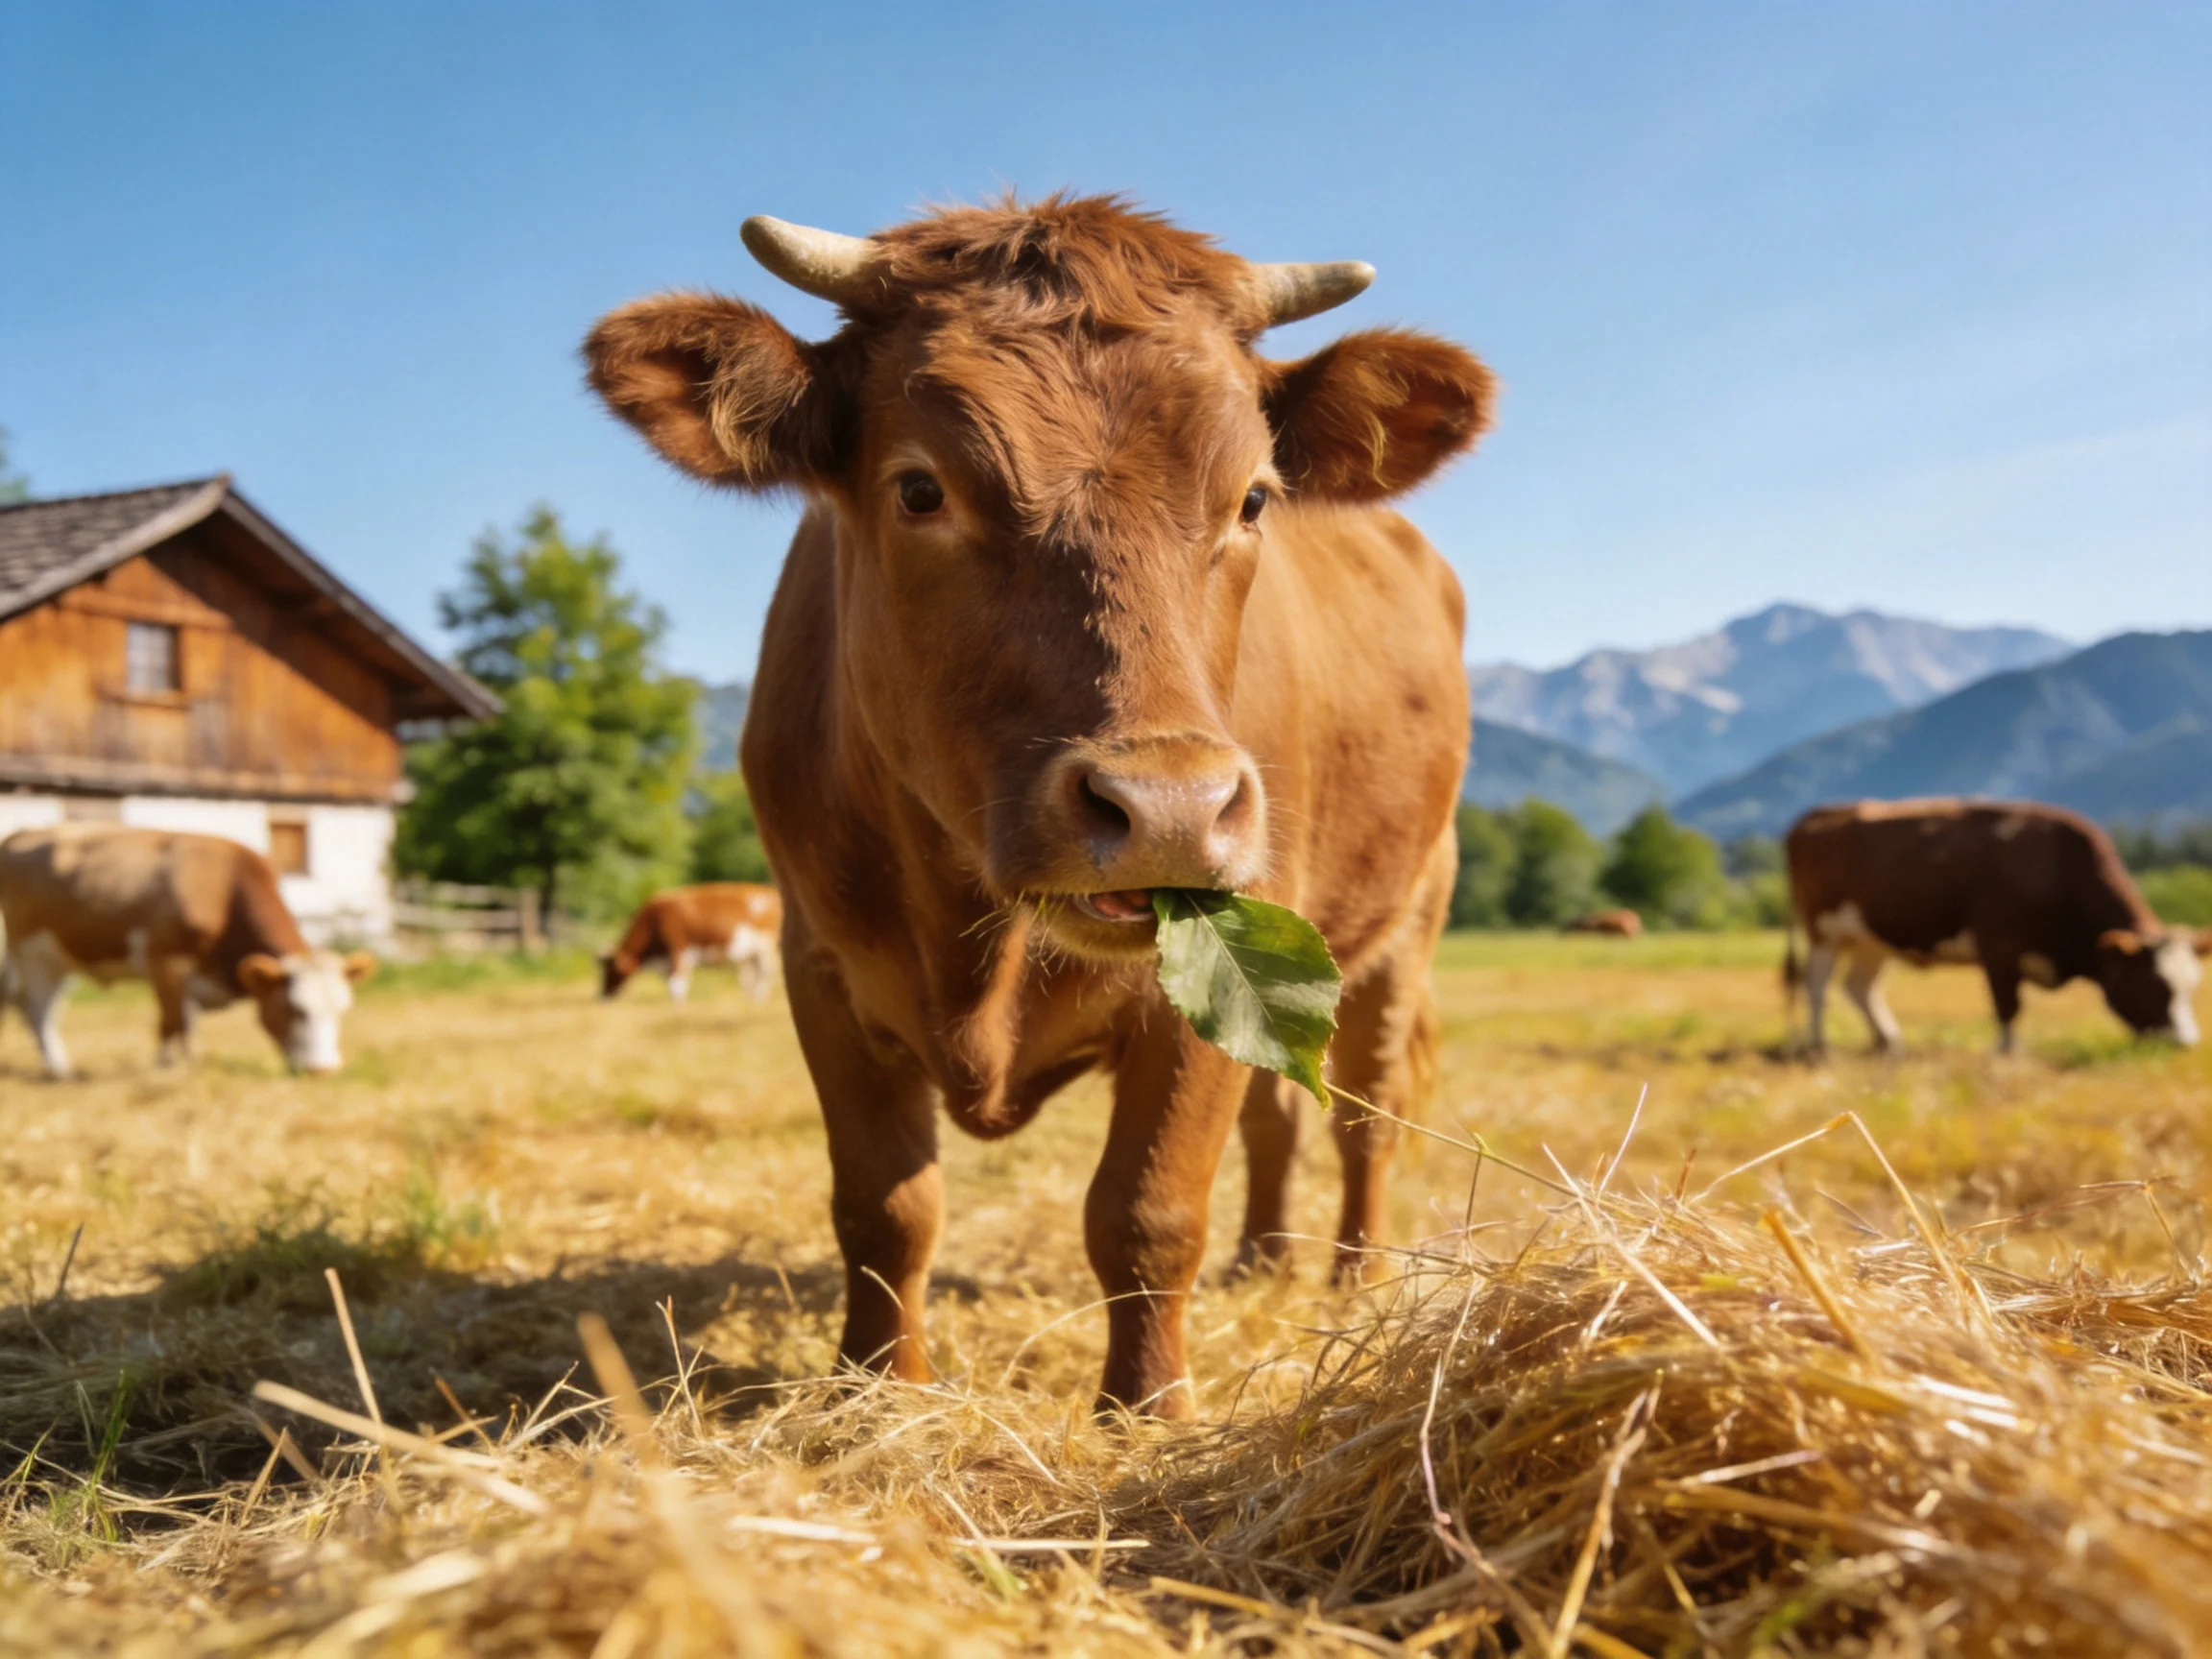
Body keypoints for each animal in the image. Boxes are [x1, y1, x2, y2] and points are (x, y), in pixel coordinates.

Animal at [0, 825, 374, 1079]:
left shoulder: (192, 978)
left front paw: (193, 1062)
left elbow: (188, 1024)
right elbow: (171, 1022)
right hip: (30, 953)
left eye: (343, 1010)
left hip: (57, 959)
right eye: (294, 1009)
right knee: (38, 1011)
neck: (222, 890)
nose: (323, 1070)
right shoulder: (166, 962)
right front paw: (165, 1068)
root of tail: (18, 835)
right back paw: (59, 1069)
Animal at [601, 882, 783, 1001]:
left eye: (611, 971)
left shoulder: (678, 951)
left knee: (766, 972)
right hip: (751, 953)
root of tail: (770, 892)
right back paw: (750, 999)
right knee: (752, 976)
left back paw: (758, 1000)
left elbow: (676, 986)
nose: (602, 996)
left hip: (765, 946)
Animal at [1784, 799, 2205, 1055]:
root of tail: (1814, 815)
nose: (2186, 1043)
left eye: (2191, 988)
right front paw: (2007, 1053)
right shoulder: (1998, 946)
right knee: (1817, 987)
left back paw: (1888, 1040)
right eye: (2153, 985)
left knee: (1859, 987)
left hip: (1871, 939)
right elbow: (2008, 1005)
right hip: (1823, 930)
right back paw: (1819, 1046)